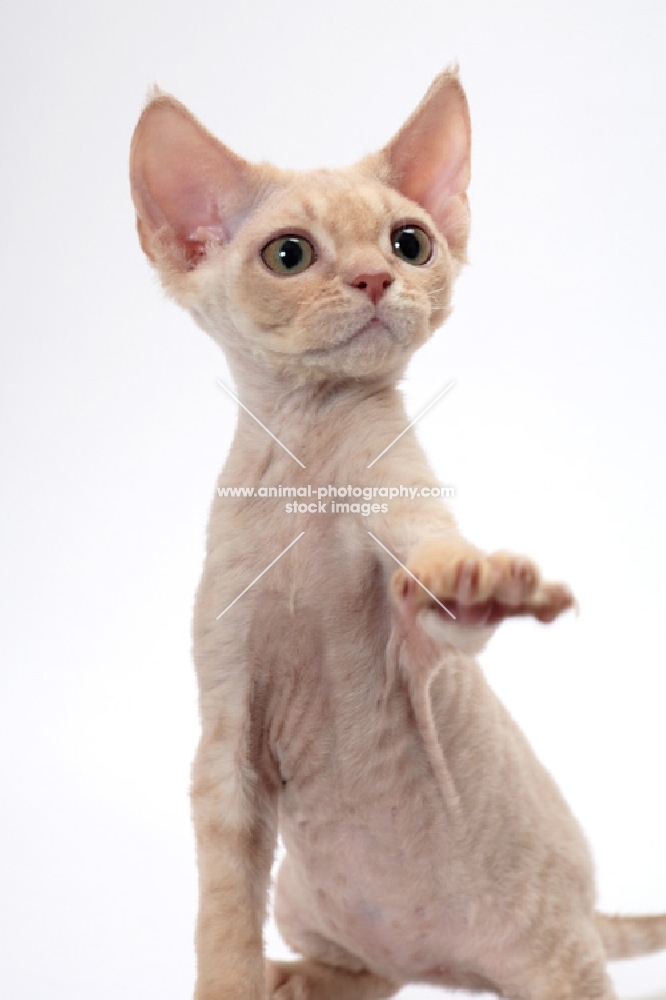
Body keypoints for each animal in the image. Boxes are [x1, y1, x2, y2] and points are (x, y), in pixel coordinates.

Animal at [130, 70, 664, 1000]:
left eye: (410, 242)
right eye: (289, 255)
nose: (378, 278)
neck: (307, 467)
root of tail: (440, 965)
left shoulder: (413, 629)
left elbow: (440, 589)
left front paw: (482, 584)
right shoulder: (224, 750)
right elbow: (221, 926)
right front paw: (236, 982)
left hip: (560, 958)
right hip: (312, 904)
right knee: (363, 970)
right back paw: (292, 978)